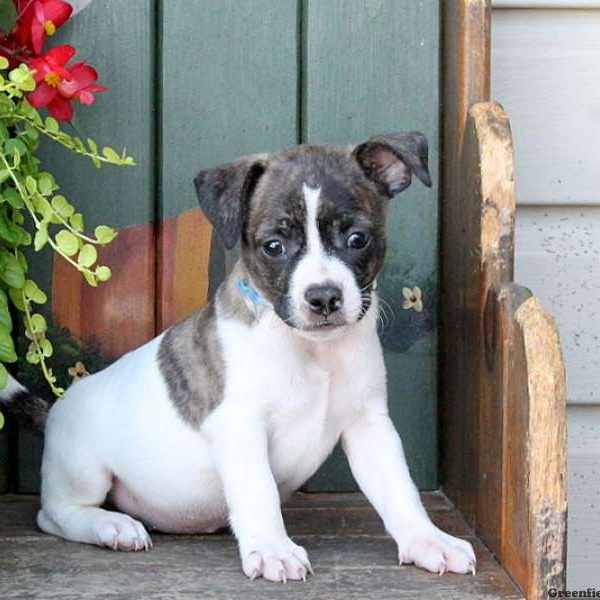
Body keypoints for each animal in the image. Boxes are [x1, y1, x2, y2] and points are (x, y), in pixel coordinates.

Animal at [1, 131, 478, 580]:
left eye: (357, 238)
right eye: (273, 246)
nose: (323, 297)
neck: (311, 351)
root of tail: (56, 410)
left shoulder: (369, 426)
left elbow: (400, 489)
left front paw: (428, 540)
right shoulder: (240, 427)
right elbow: (258, 490)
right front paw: (273, 549)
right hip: (83, 468)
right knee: (54, 514)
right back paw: (110, 527)